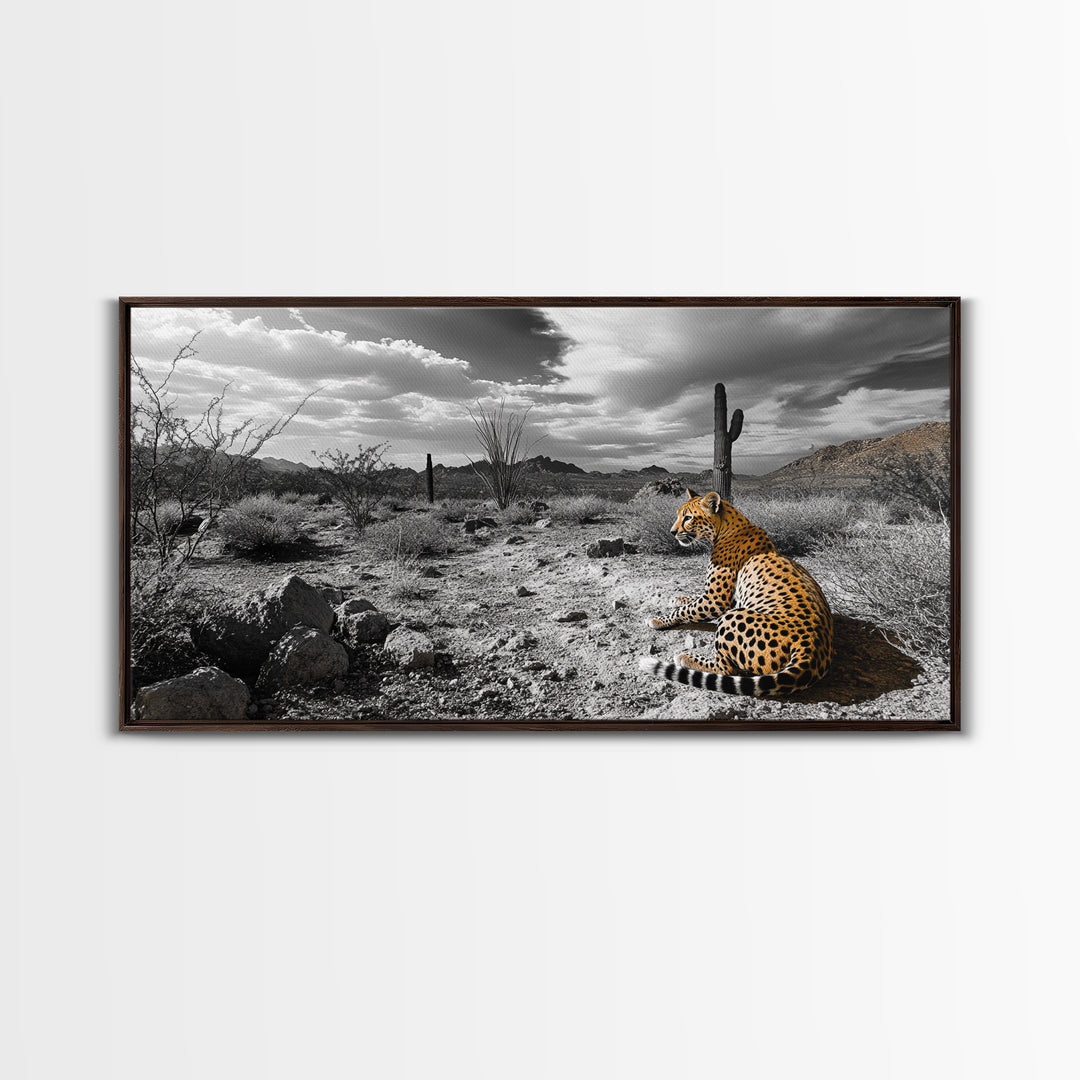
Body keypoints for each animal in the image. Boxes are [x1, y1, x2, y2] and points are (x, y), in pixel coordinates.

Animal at [638, 489, 833, 696]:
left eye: (688, 517)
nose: (672, 532)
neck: (726, 528)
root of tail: (813, 646)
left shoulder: (716, 600)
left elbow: (686, 611)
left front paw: (658, 620)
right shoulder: (724, 598)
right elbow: (691, 601)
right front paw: (678, 599)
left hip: (732, 617)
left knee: (726, 669)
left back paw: (686, 657)